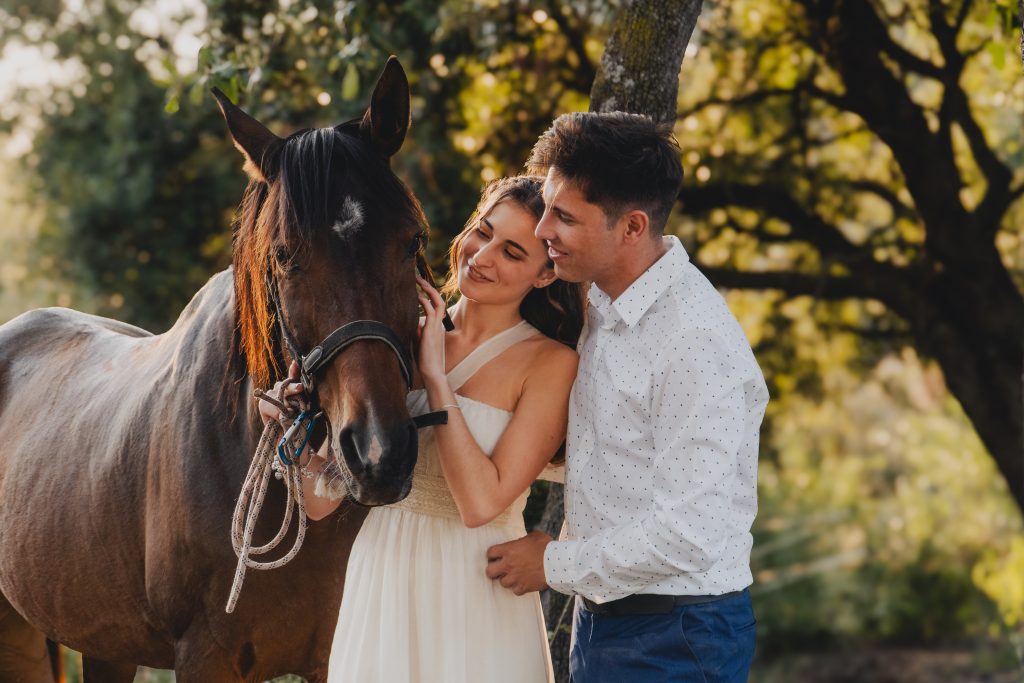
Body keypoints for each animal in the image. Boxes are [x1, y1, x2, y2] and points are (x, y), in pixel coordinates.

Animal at [0, 57, 429, 682]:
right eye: (283, 254)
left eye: (411, 240)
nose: (378, 453)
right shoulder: (205, 656)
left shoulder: (334, 653)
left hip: (104, 642)